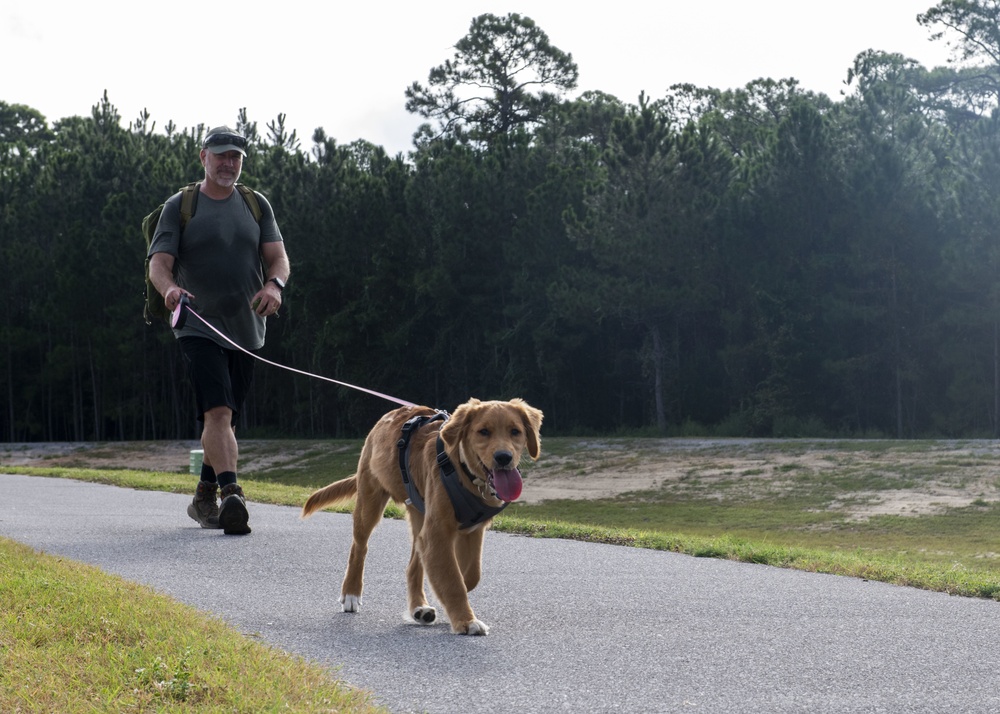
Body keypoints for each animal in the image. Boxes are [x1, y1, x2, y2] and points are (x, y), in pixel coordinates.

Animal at [300, 394, 544, 636]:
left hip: (420, 520)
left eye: (515, 431)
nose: (504, 457)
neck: (463, 470)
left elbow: (470, 575)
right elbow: (453, 580)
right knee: (358, 548)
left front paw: (449, 605)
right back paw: (351, 593)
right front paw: (466, 621)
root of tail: (386, 417)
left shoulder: (471, 531)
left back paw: (418, 608)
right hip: (370, 502)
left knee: (413, 567)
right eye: (483, 431)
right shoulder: (438, 532)